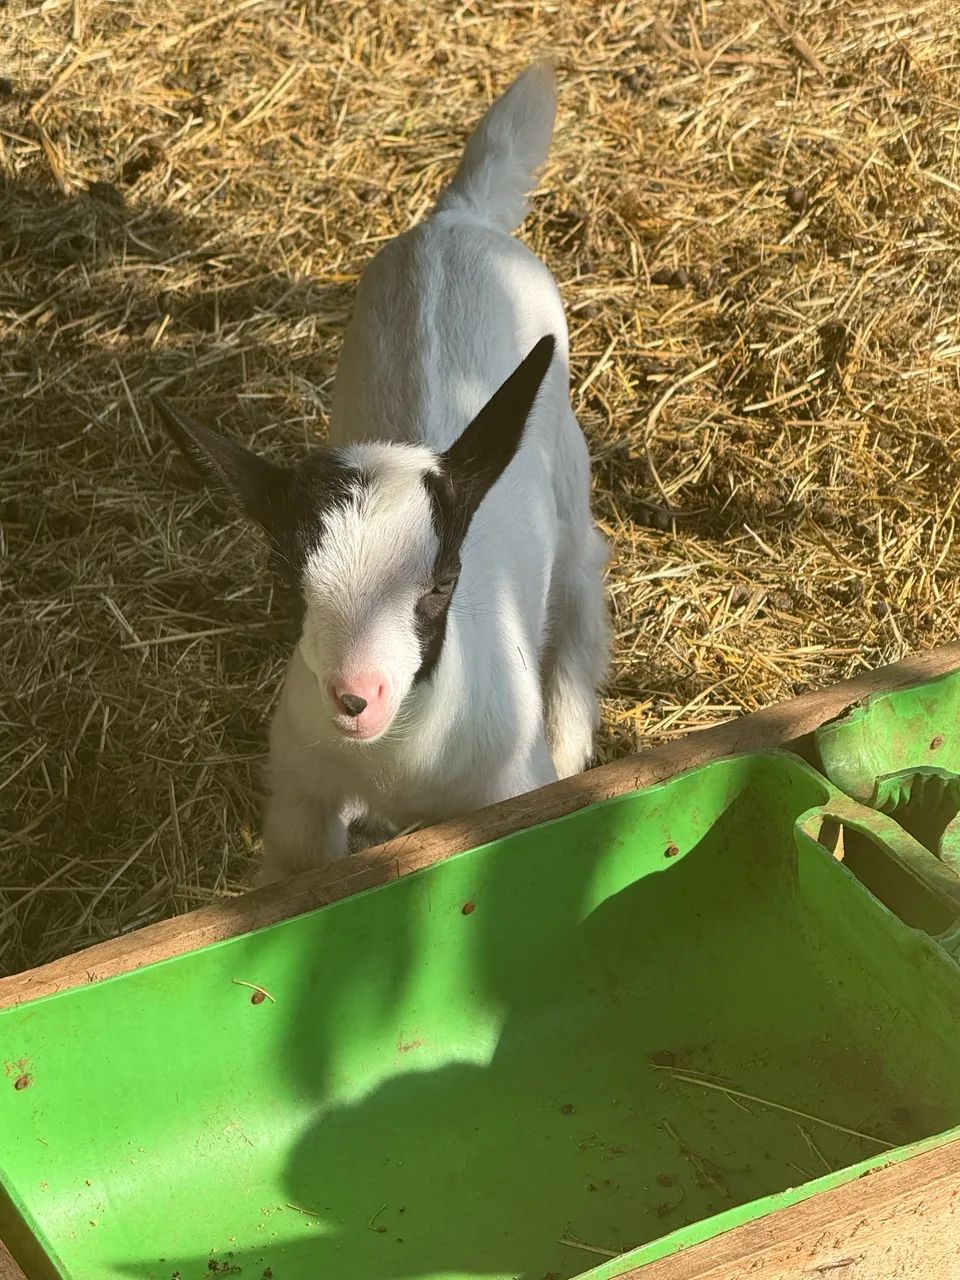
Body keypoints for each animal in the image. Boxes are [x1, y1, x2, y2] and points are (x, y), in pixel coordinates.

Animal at [157, 60, 610, 885]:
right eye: (288, 582)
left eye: (441, 582)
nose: (354, 697)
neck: (399, 757)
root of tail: (460, 219)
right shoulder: (301, 796)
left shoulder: (505, 788)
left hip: (566, 461)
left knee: (583, 573)